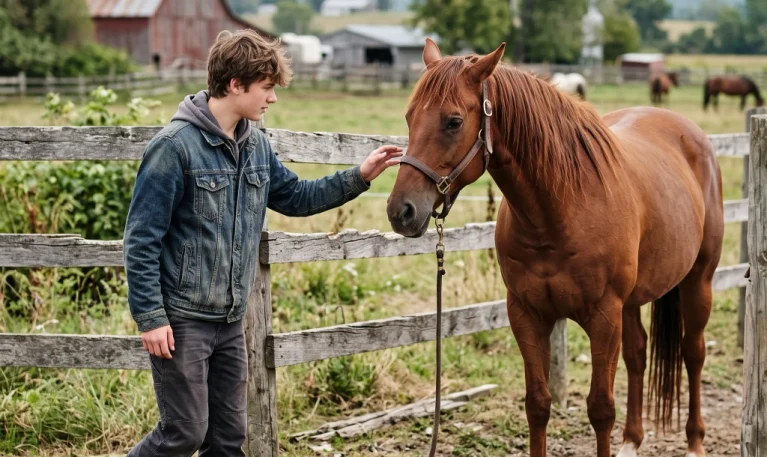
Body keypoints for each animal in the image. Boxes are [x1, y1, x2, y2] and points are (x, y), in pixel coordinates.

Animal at [387, 39, 723, 457]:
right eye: (408, 116)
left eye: (453, 122)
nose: (401, 211)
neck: (559, 211)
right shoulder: (526, 314)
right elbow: (538, 404)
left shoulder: (604, 317)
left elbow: (600, 409)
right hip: (632, 301)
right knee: (638, 354)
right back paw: (632, 440)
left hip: (698, 281)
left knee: (693, 353)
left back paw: (694, 442)